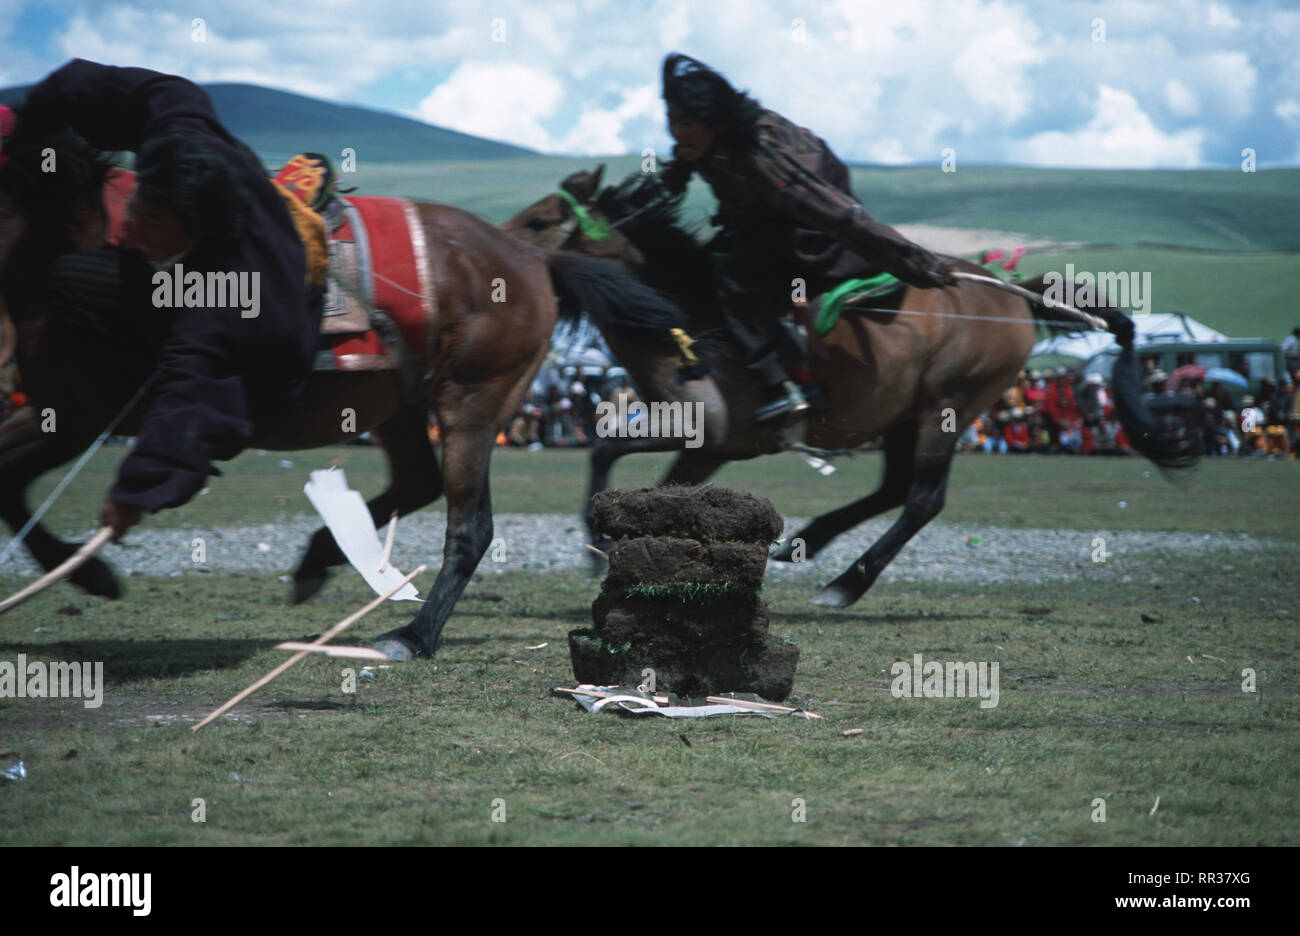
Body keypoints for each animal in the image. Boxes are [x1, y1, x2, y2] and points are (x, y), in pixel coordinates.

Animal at [0, 131, 686, 663]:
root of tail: (530, 261)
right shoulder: (63, 407)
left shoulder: (82, 408)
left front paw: (89, 570)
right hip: (399, 401)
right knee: (417, 482)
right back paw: (319, 560)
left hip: (469, 400)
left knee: (469, 526)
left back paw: (412, 634)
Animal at [504, 166, 1196, 605]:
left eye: (539, 220)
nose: (501, 259)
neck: (692, 322)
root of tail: (1014, 297)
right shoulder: (703, 446)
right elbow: (644, 478)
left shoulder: (711, 436)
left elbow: (611, 453)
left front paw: (598, 543)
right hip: (902, 414)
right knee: (893, 488)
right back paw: (805, 543)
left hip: (948, 406)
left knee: (922, 499)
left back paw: (844, 585)